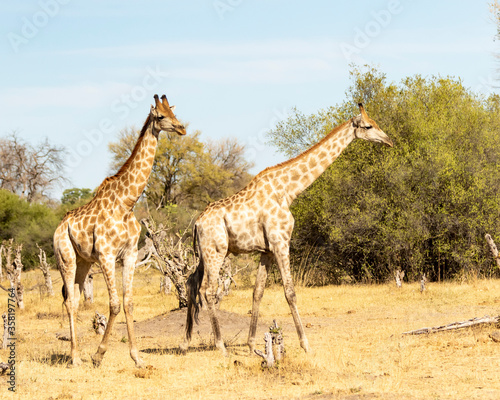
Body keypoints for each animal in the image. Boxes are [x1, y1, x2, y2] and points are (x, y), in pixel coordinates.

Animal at [54, 94, 187, 368]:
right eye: (161, 116)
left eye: (174, 112)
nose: (182, 128)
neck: (127, 203)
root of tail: (58, 228)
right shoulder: (106, 255)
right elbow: (114, 305)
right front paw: (98, 354)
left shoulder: (129, 255)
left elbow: (129, 303)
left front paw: (137, 358)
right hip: (65, 258)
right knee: (70, 301)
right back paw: (75, 358)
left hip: (83, 262)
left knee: (75, 298)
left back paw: (77, 354)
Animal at [182, 102, 392, 354]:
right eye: (369, 126)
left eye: (377, 123)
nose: (389, 141)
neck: (289, 191)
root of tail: (197, 222)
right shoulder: (281, 242)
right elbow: (290, 292)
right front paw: (305, 344)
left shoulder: (266, 250)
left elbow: (257, 292)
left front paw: (252, 345)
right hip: (216, 251)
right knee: (208, 291)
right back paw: (220, 346)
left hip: (204, 253)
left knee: (191, 282)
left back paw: (186, 341)